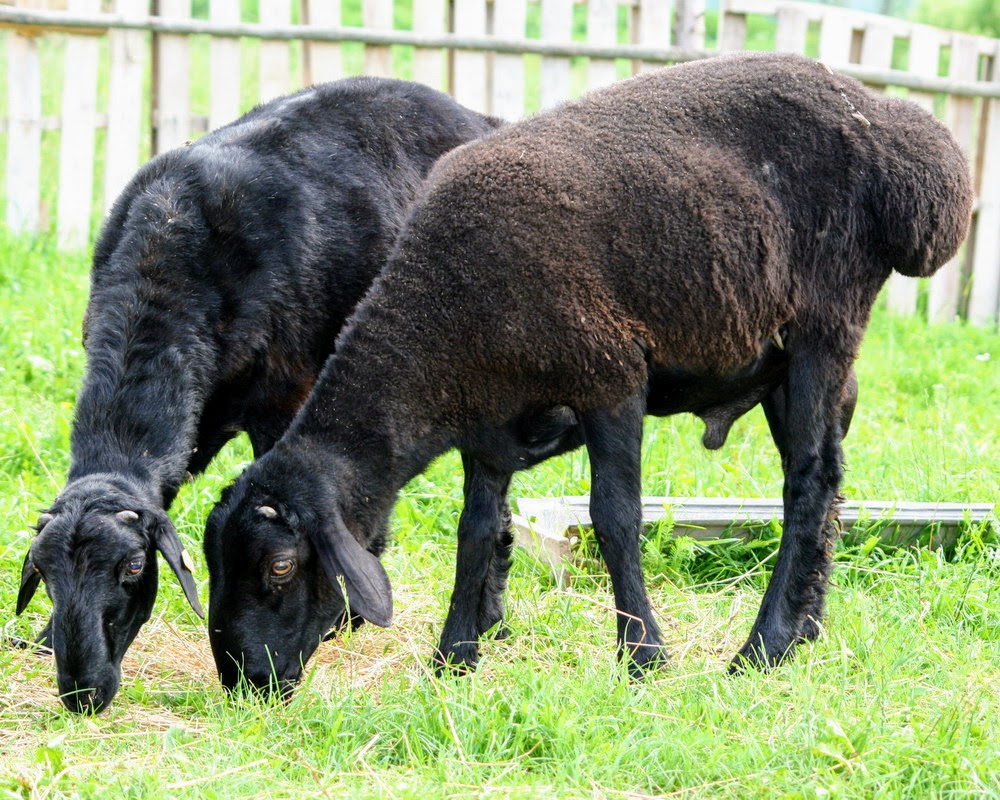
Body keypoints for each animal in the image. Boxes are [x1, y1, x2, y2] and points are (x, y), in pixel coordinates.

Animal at [13, 76, 501, 713]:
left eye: (134, 567)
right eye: (45, 575)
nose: (83, 693)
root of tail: (477, 116)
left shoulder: (285, 397)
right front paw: (47, 637)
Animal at [203, 52, 973, 696]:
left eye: (280, 567)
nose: (245, 682)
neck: (442, 314)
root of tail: (901, 134)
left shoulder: (610, 375)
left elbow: (615, 517)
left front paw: (643, 657)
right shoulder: (488, 422)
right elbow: (476, 529)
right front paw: (454, 658)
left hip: (825, 319)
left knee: (809, 482)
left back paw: (762, 649)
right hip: (785, 359)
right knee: (828, 477)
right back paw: (805, 627)